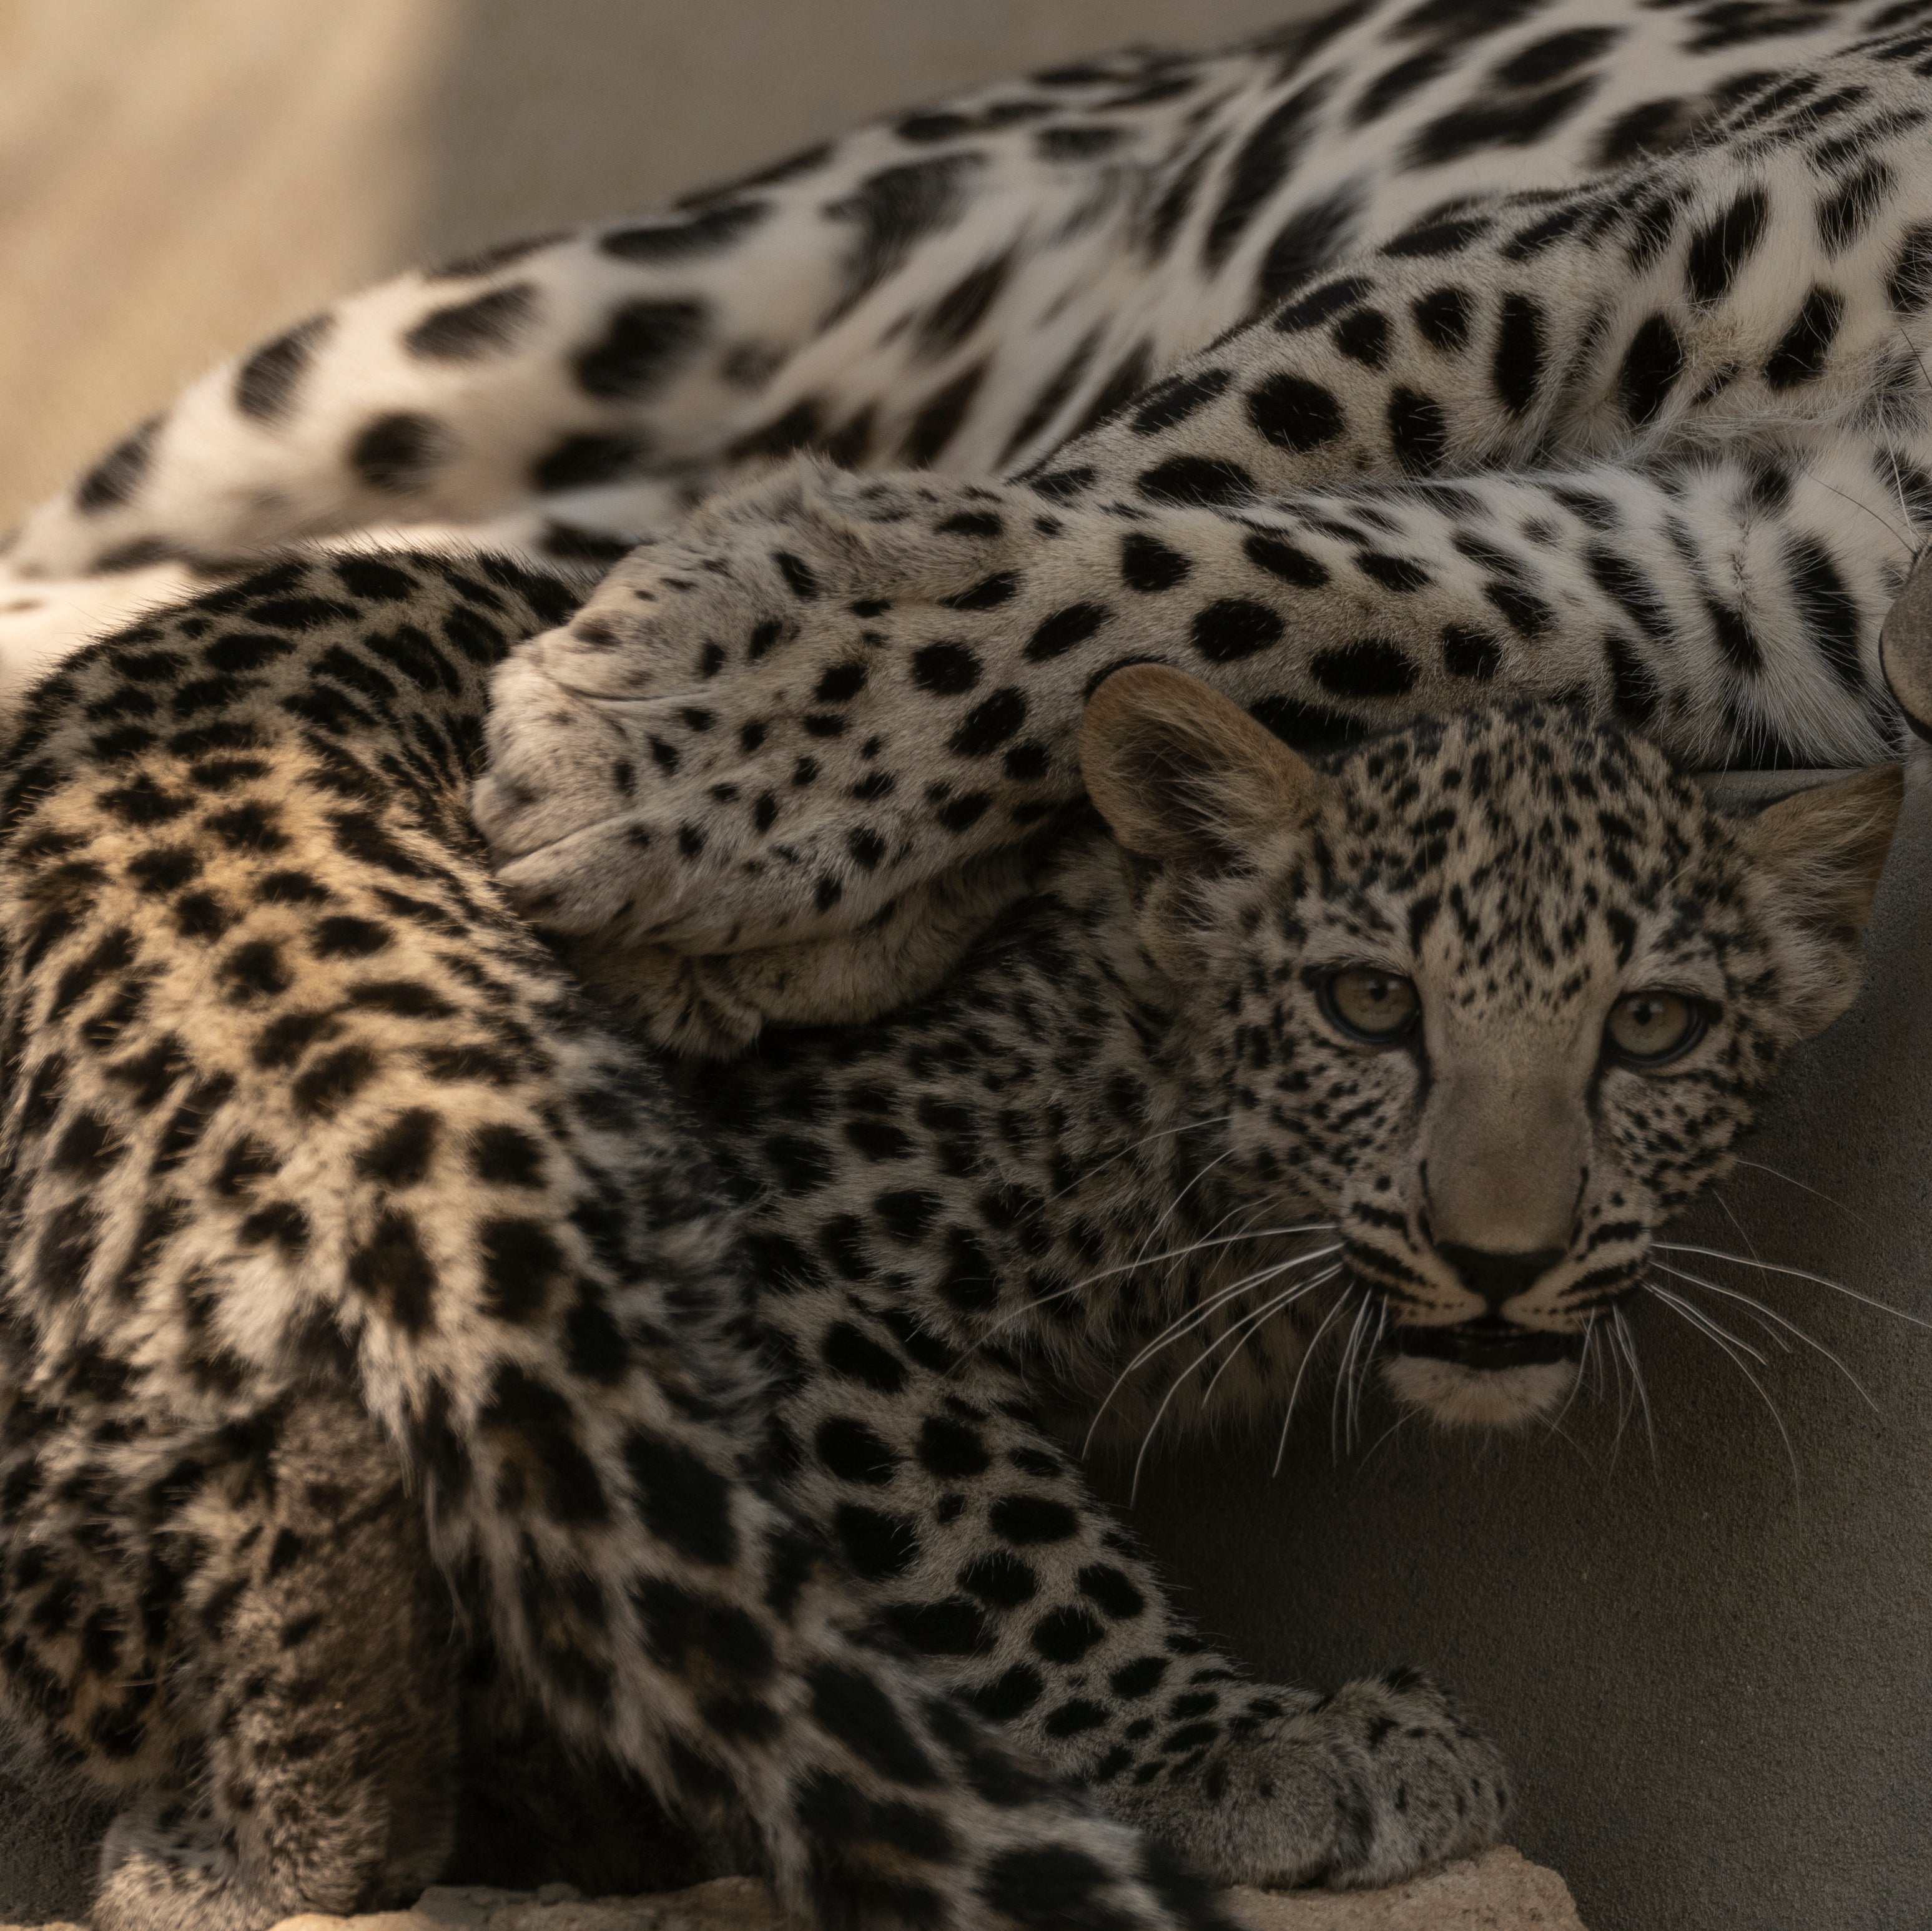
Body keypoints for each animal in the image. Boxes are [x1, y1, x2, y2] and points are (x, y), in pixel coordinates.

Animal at [0, 536, 1901, 1923]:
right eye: (1369, 1004)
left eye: (1651, 1029)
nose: (1501, 1252)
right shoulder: (816, 1241)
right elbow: (995, 1542)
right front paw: (1243, 1745)